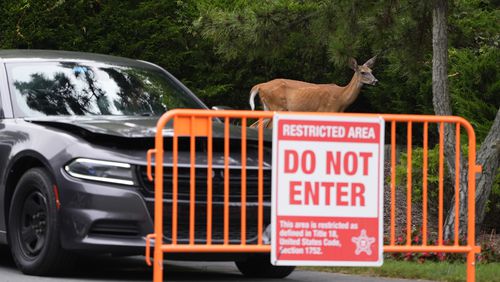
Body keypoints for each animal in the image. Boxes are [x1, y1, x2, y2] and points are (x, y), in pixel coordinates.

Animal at [248, 56, 376, 117]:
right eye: (363, 72)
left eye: (371, 70)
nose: (375, 80)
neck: (341, 99)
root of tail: (260, 85)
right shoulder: (327, 111)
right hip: (277, 105)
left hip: (267, 106)